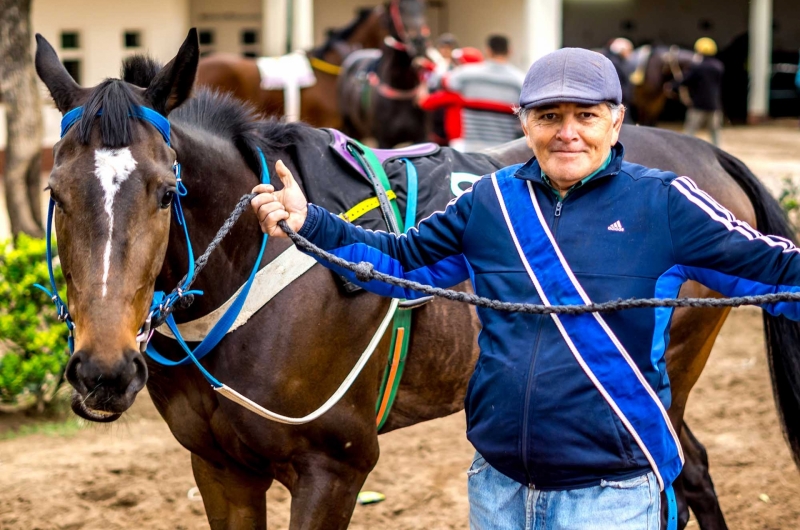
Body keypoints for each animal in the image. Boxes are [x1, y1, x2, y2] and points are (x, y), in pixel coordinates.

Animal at [336, 0, 432, 147]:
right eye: (400, 9)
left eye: (422, 7)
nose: (419, 42)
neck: (401, 88)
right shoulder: (384, 140)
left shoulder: (421, 136)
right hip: (350, 125)